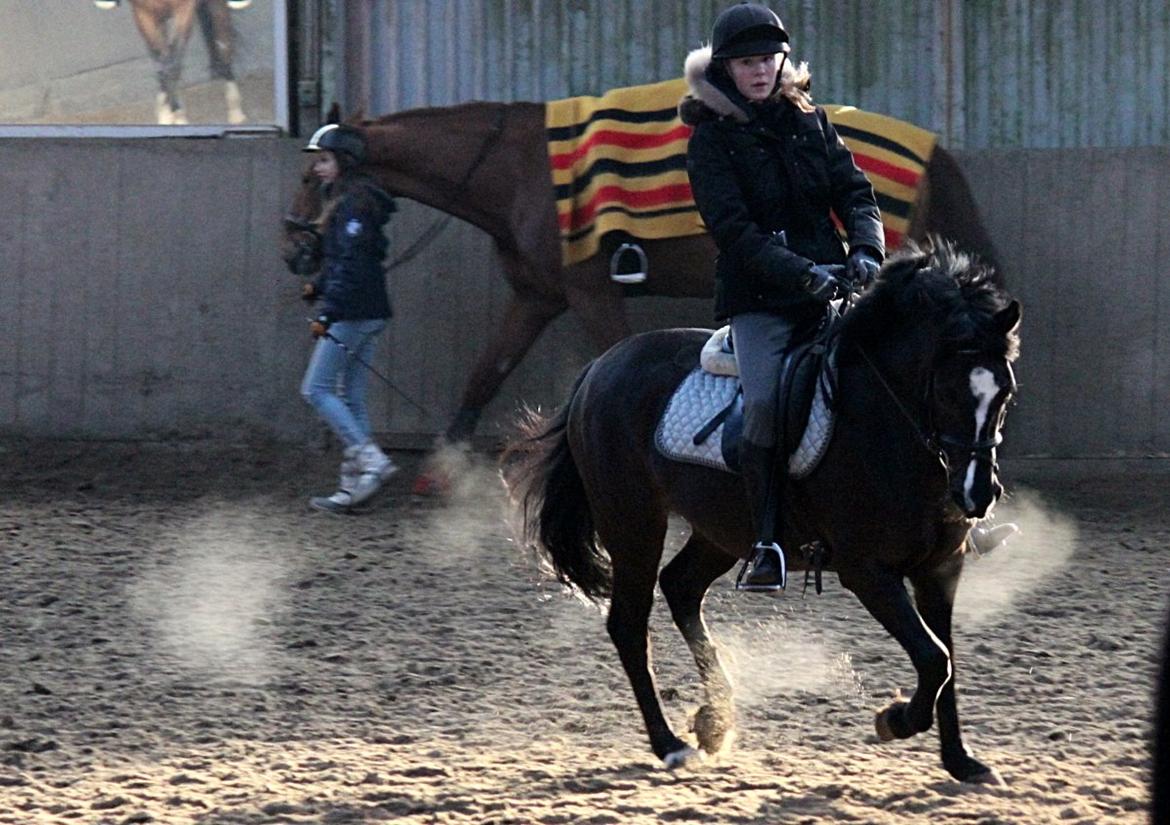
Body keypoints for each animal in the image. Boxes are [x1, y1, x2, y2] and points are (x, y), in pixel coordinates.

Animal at [95, 0, 249, 124]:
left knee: (224, 44)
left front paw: (178, 116)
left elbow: (174, 66)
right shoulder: (144, 15)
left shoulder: (184, 10)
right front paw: (167, 114)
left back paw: (235, 112)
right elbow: (161, 66)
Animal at [280, 104, 996, 449]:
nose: (294, 252)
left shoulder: (589, 292)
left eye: (312, 174)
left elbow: (605, 356)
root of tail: (933, 151)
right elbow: (487, 373)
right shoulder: (536, 297)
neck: (517, 168)